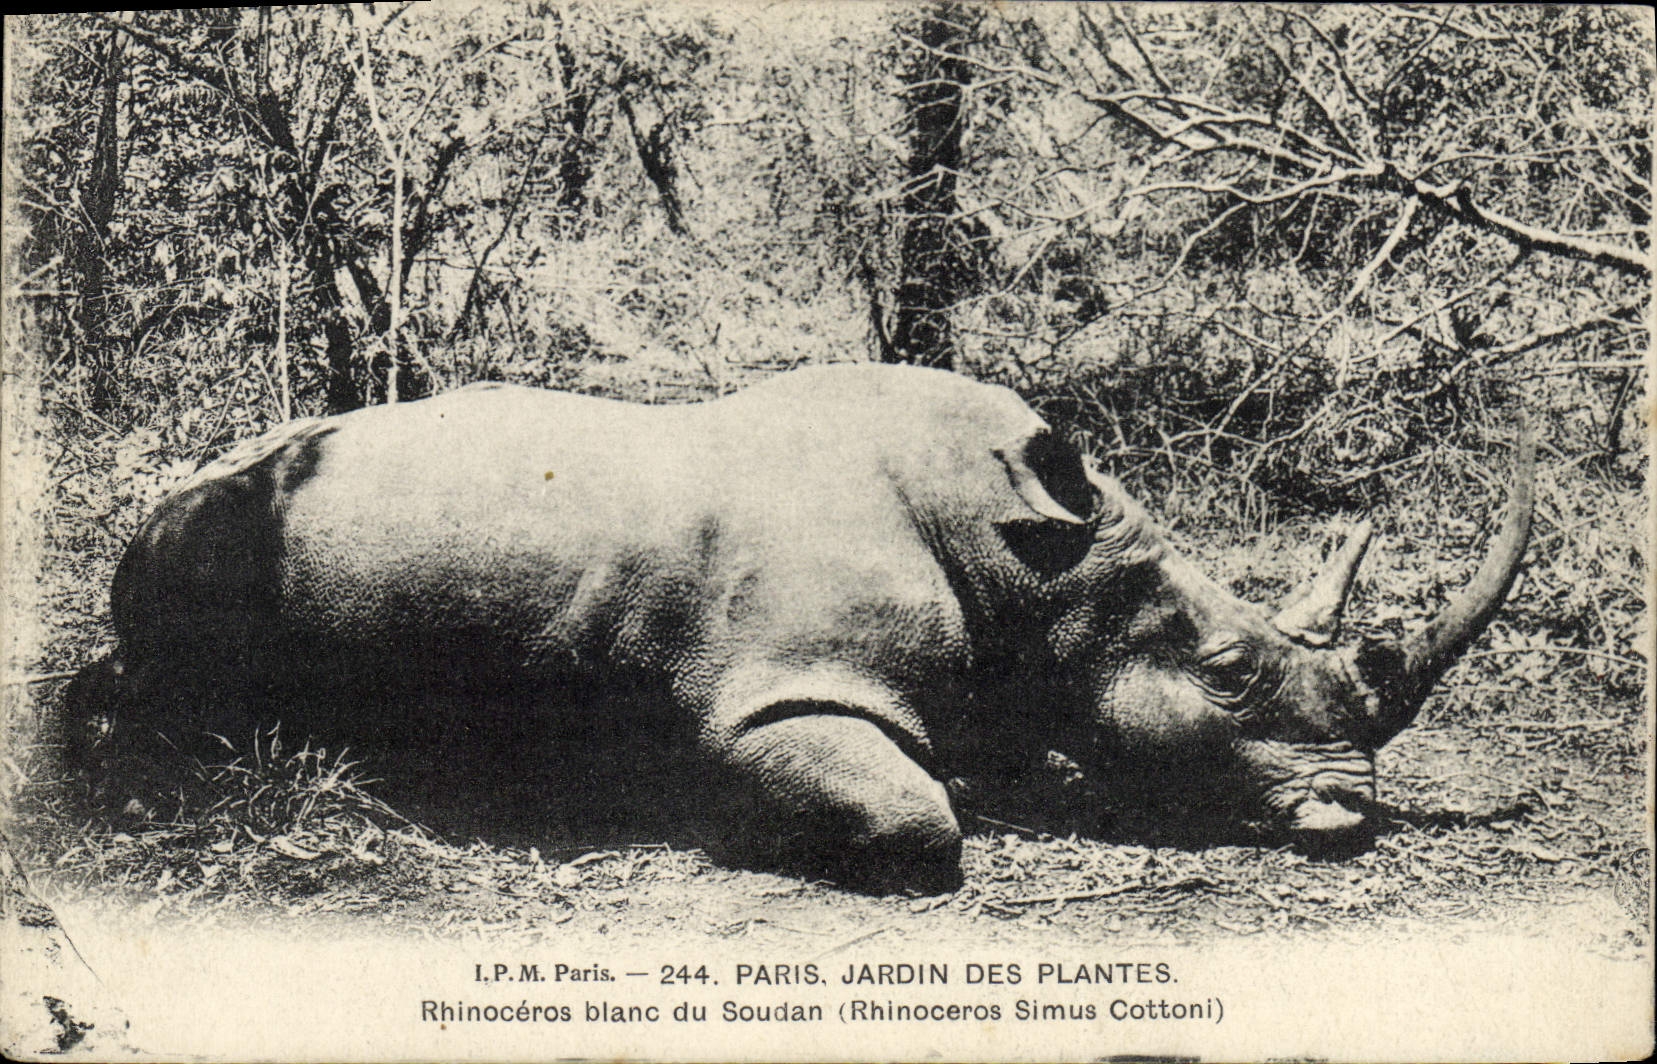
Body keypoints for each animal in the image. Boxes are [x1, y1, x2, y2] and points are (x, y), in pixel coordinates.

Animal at [67, 363, 1533, 890]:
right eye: (1228, 675)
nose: (1348, 813)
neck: (1036, 562)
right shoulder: (781, 688)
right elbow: (914, 816)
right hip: (216, 526)